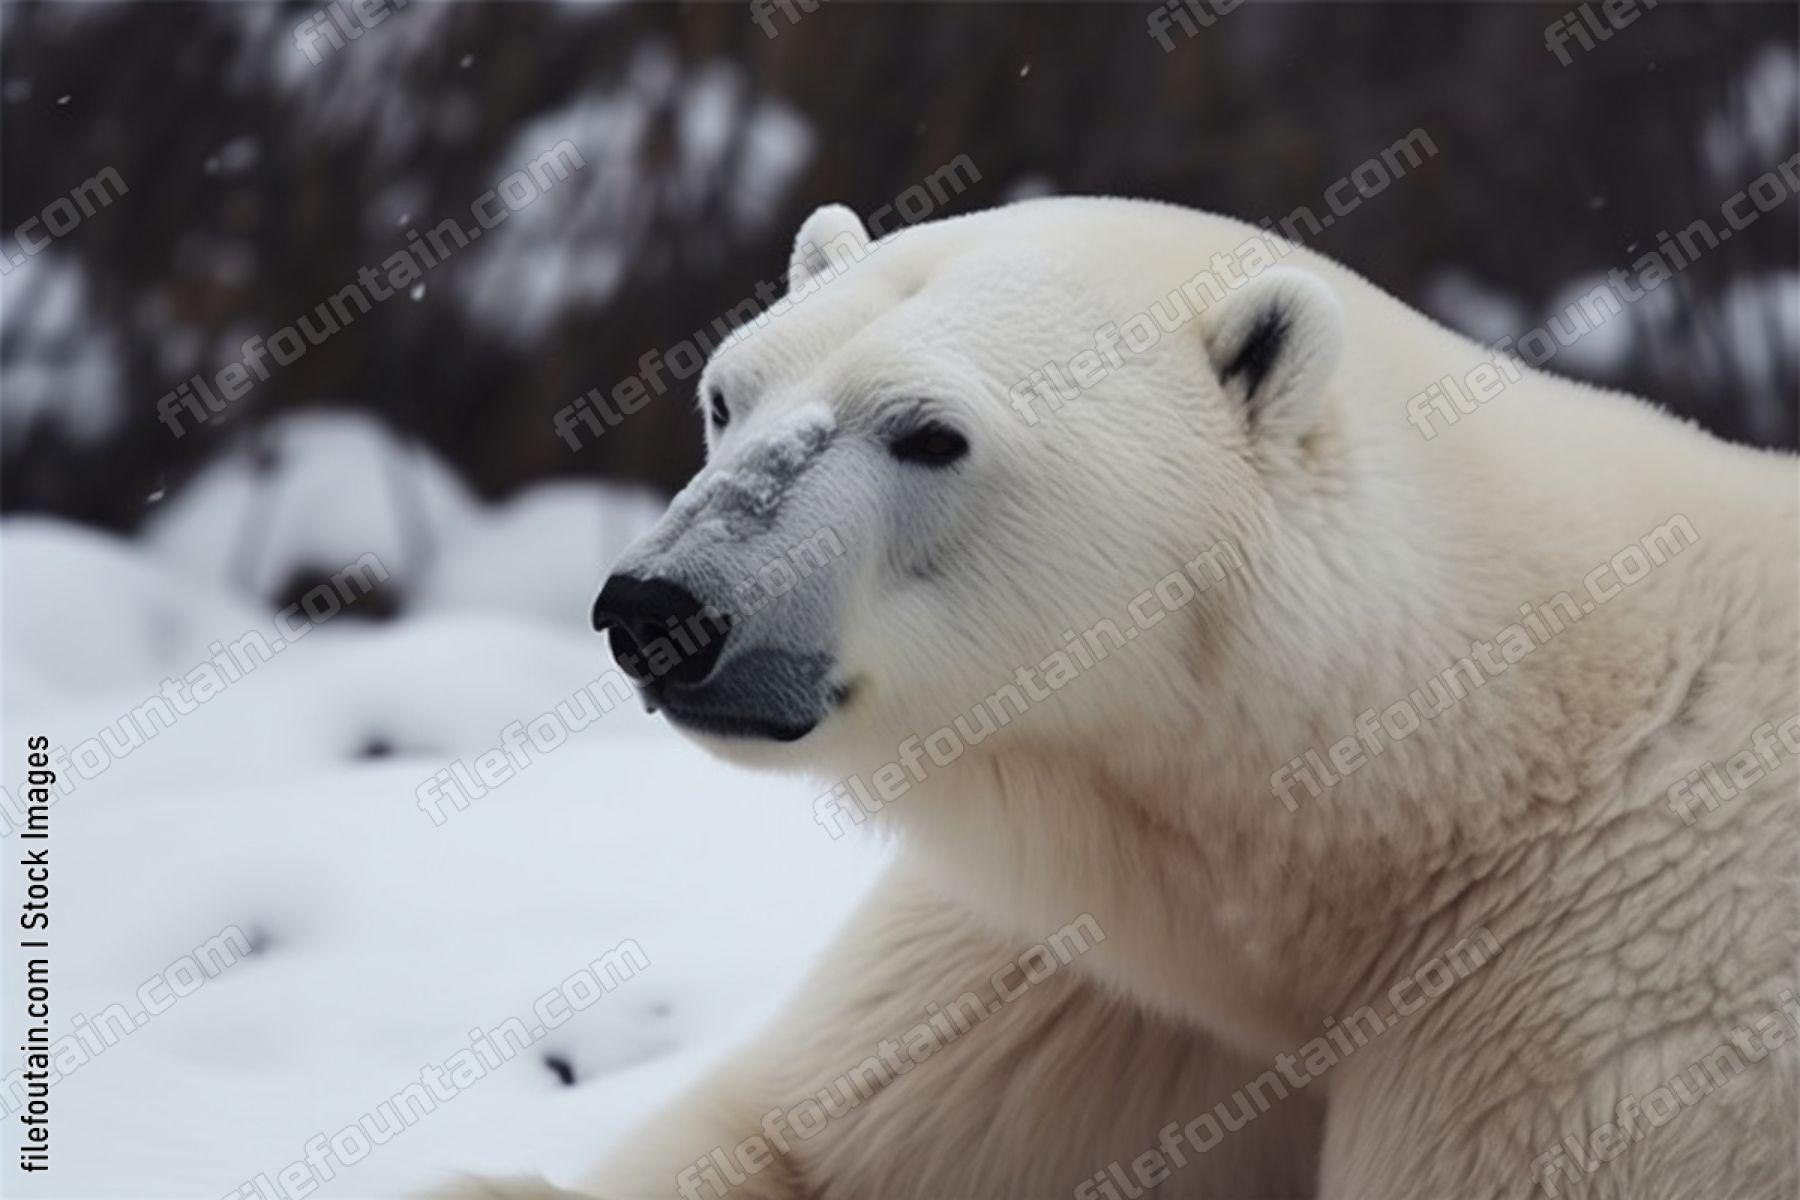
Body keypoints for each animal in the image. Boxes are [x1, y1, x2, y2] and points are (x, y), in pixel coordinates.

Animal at [431, 197, 1798, 1200]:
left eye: (930, 434)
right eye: (726, 395)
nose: (661, 607)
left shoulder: (1605, 1025)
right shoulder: (1067, 967)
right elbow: (792, 1138)